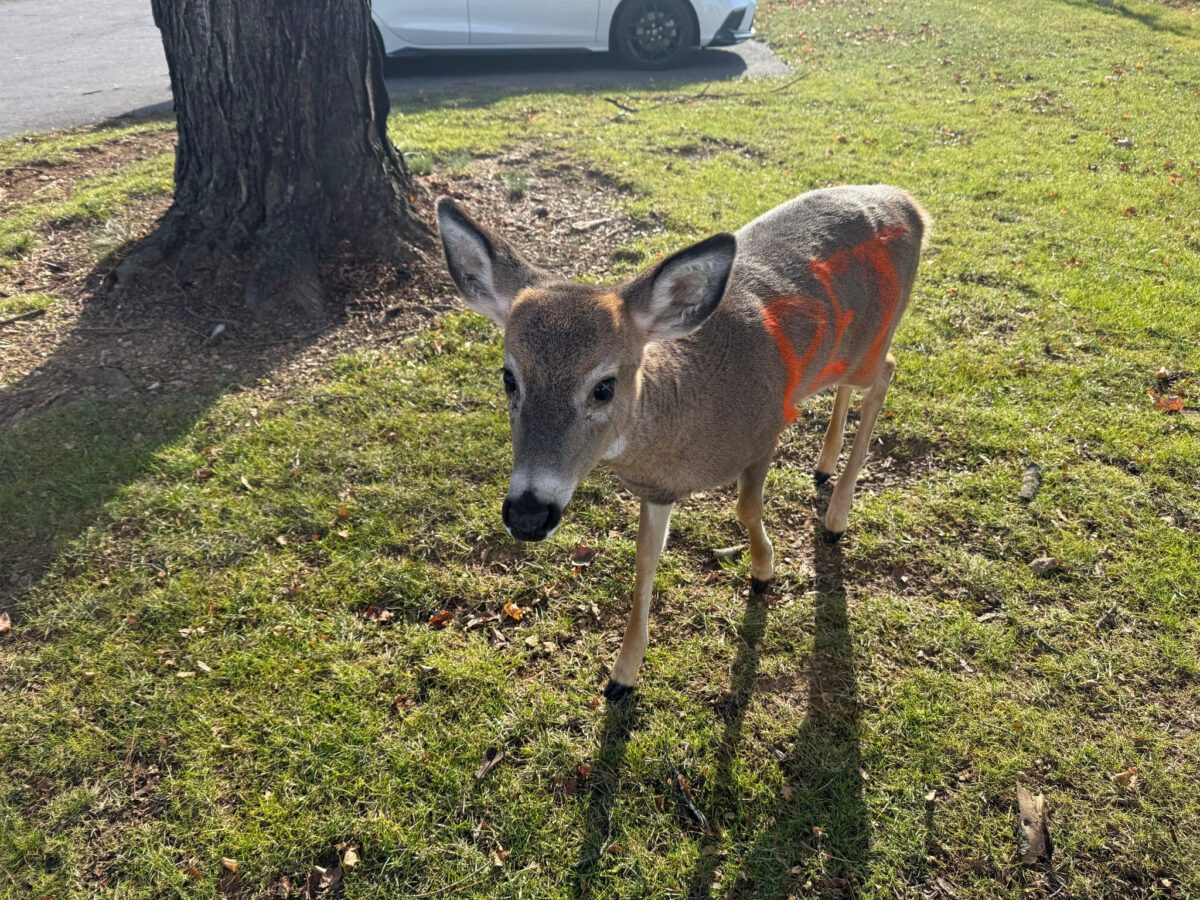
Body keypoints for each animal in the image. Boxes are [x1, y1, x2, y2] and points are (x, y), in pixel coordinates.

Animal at [436, 185, 929, 700]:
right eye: (509, 378)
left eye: (604, 386)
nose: (529, 515)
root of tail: (909, 203)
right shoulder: (658, 490)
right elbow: (646, 558)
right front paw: (623, 673)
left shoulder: (765, 428)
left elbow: (746, 508)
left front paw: (764, 571)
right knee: (851, 386)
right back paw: (824, 466)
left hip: (874, 337)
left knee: (887, 371)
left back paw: (835, 517)